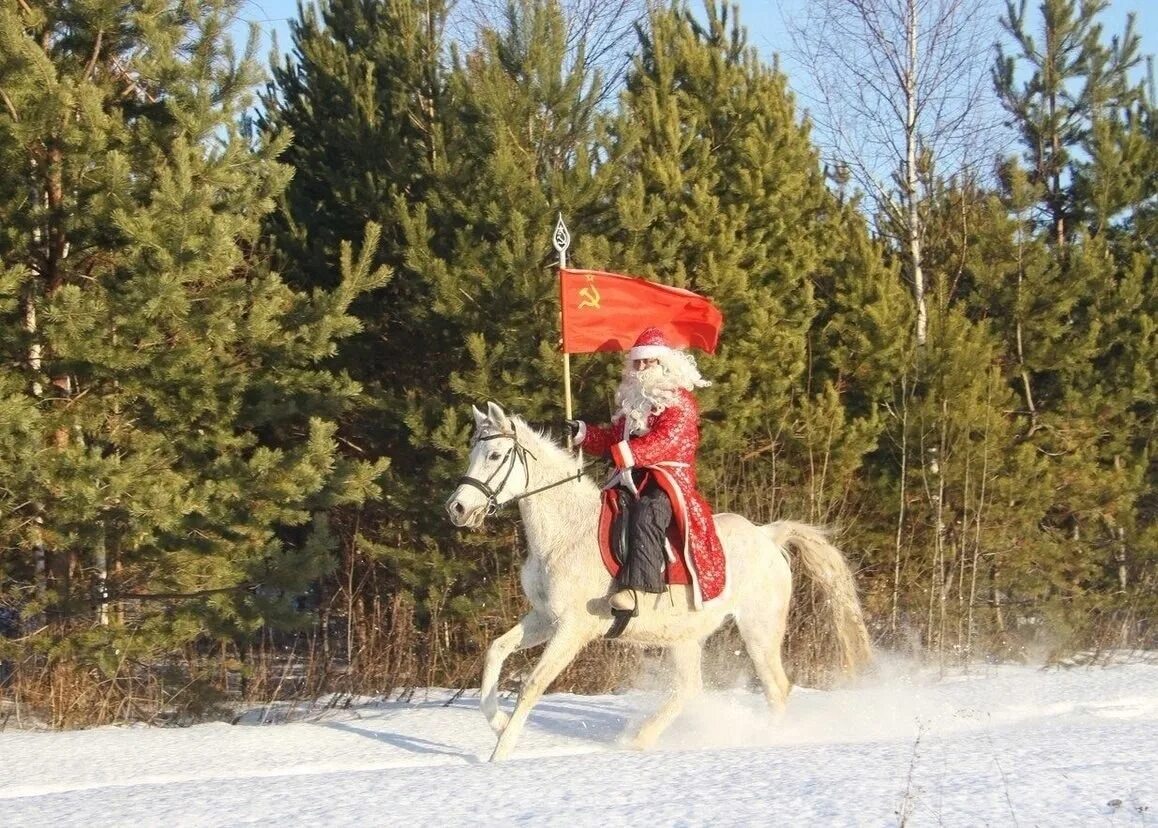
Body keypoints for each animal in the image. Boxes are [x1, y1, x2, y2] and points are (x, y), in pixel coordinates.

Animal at [446, 402, 870, 764]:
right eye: (472, 454)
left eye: (495, 456)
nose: (457, 509)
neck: (565, 534)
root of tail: (768, 535)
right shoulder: (544, 618)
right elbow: (496, 651)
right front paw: (497, 723)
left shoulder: (572, 628)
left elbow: (532, 684)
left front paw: (500, 754)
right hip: (684, 636)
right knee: (690, 687)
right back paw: (639, 740)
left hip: (758, 628)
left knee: (776, 689)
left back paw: (766, 743)